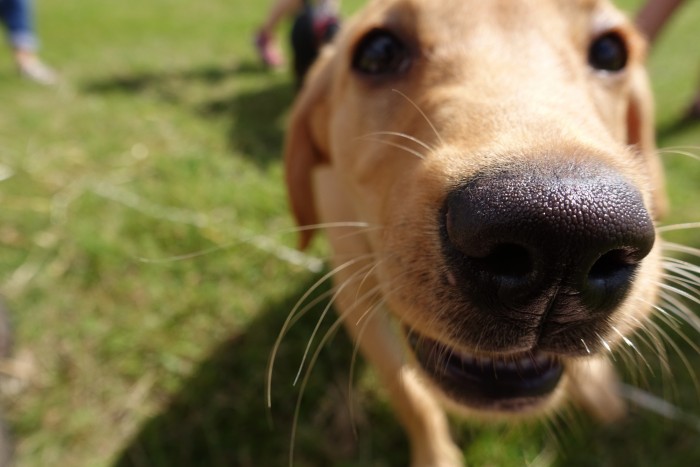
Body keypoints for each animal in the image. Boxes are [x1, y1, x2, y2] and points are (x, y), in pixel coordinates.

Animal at [284, 0, 668, 464]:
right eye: (378, 52)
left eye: (610, 52)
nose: (567, 232)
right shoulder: (354, 293)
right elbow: (409, 394)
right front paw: (436, 455)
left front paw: (596, 386)